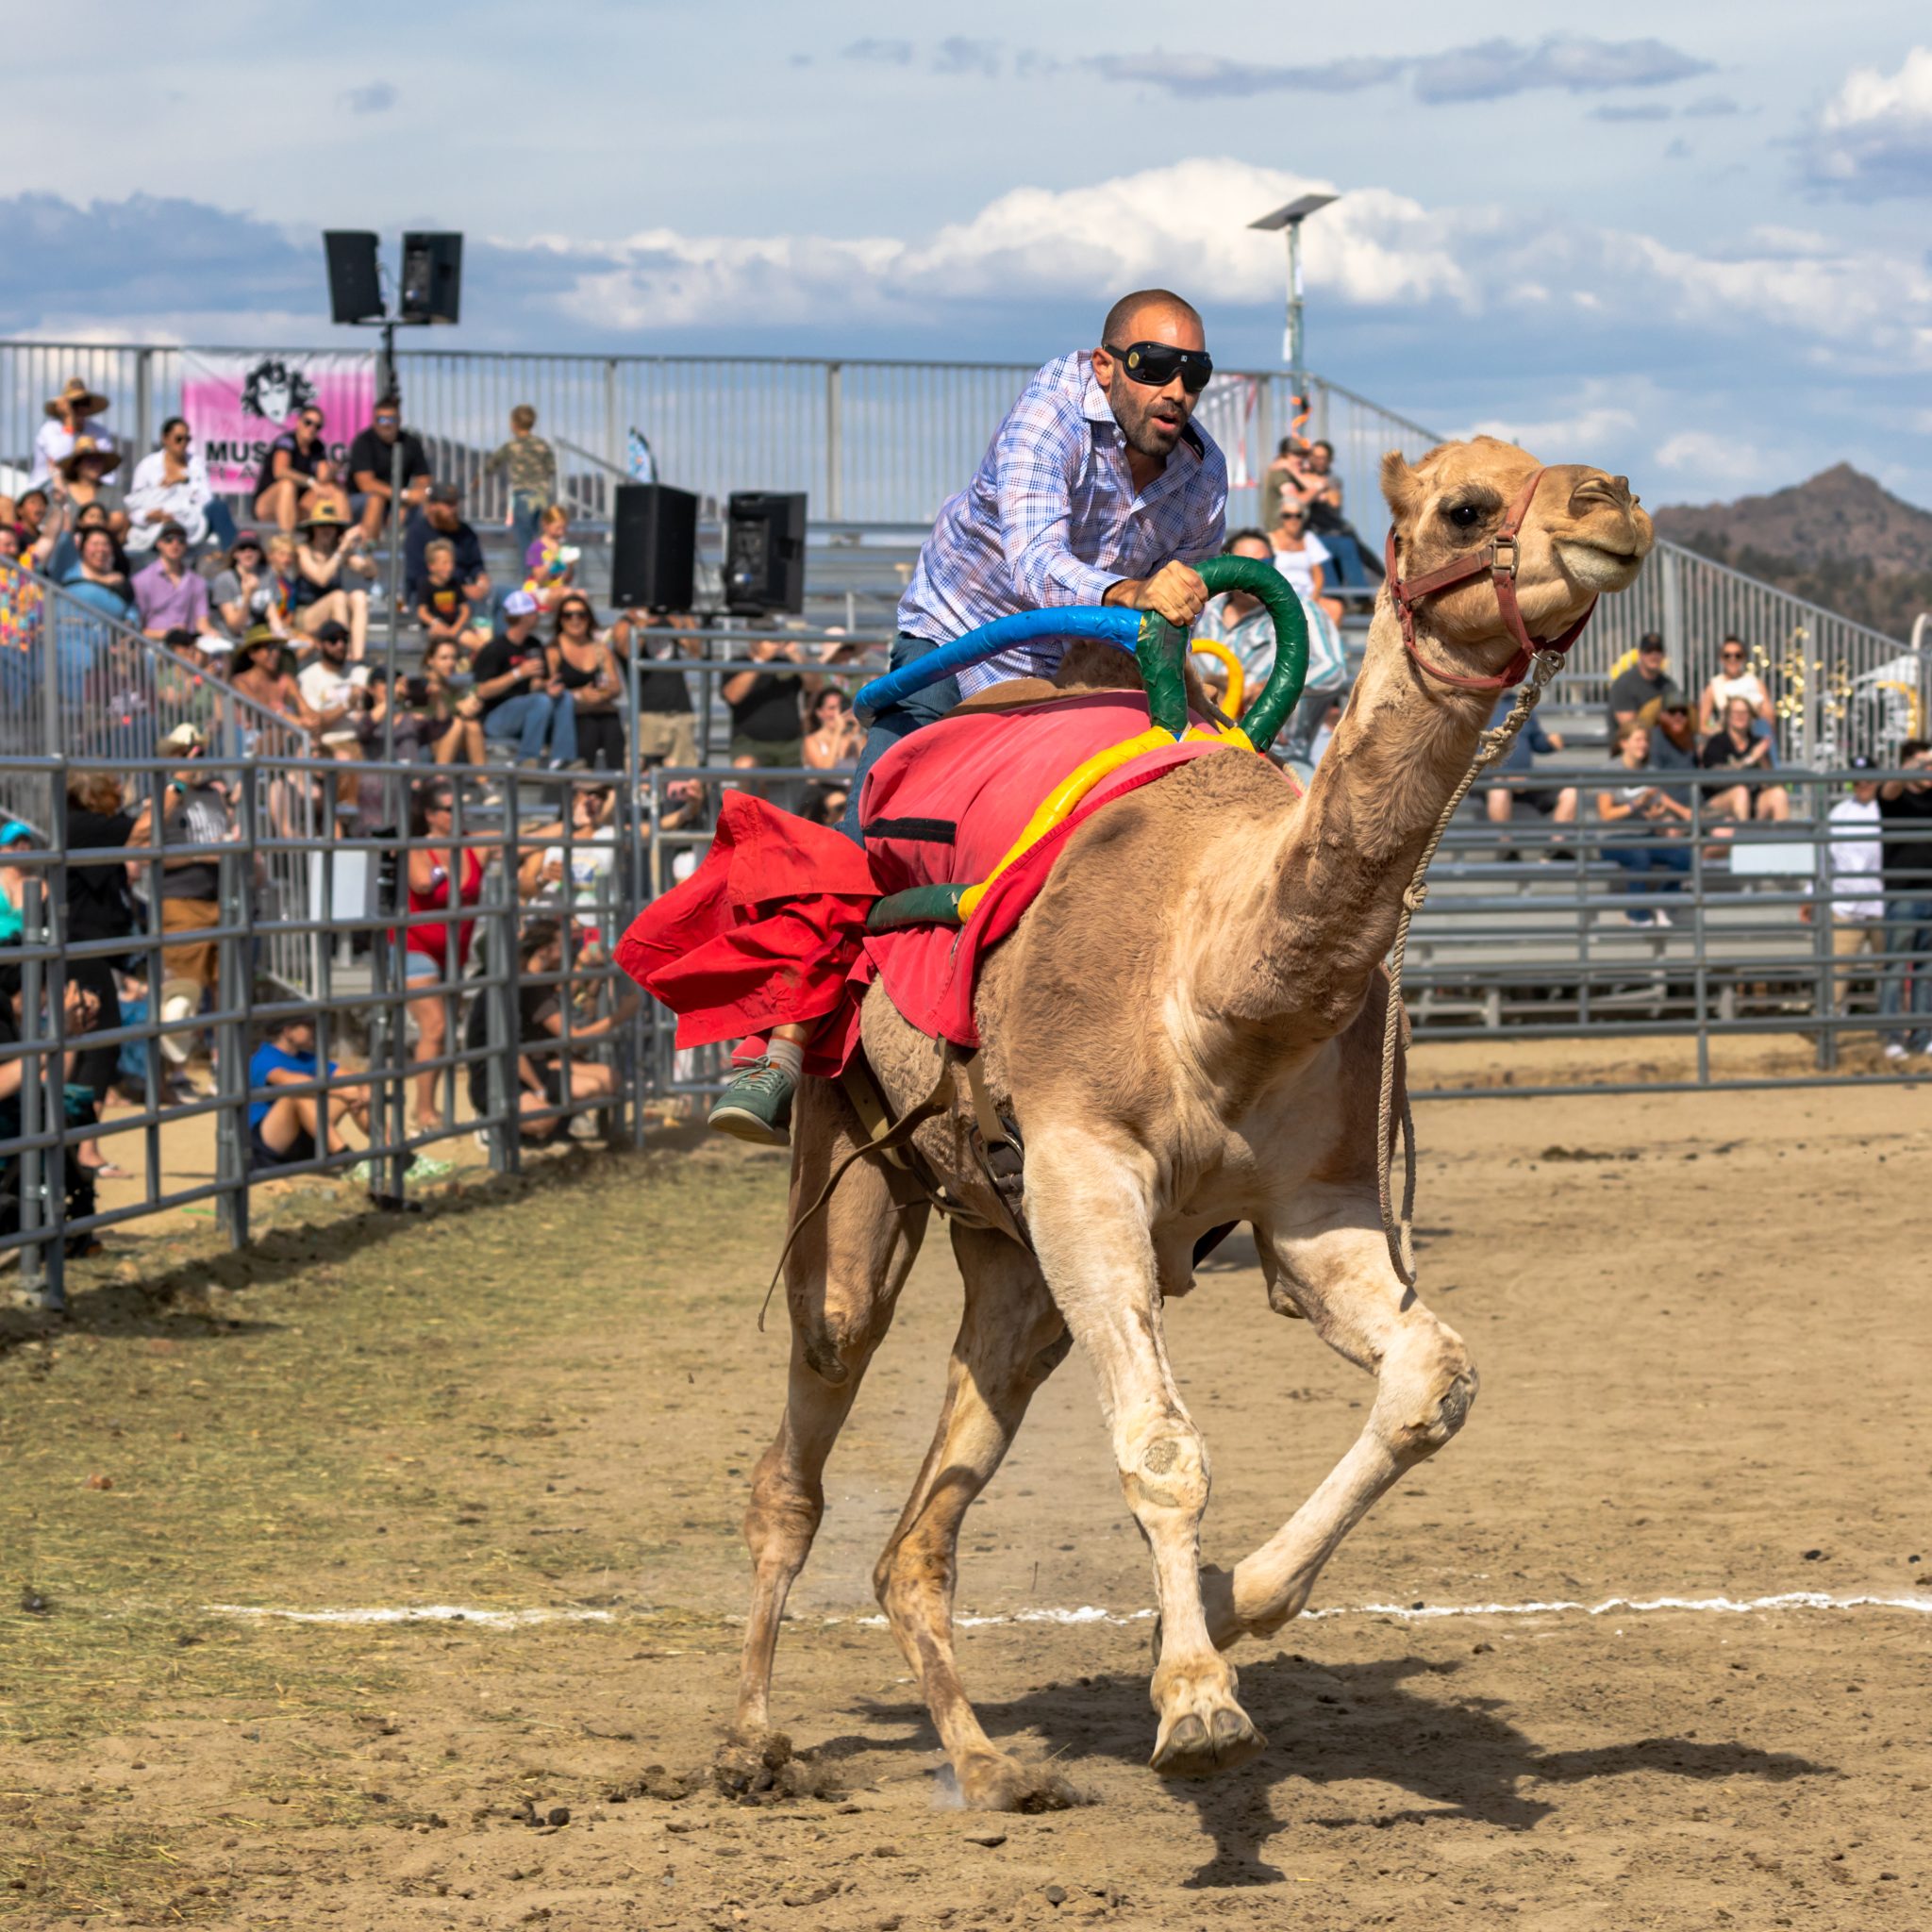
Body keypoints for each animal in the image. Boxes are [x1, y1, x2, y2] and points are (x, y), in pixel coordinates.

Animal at [728, 435, 1653, 1808]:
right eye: (1463, 504)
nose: (1613, 507)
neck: (1218, 980)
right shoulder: (1085, 1167)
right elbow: (1163, 1448)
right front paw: (1200, 1705)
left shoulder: (1316, 1214)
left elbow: (1432, 1377)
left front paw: (1232, 1600)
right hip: (853, 1134)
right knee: (812, 1400)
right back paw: (751, 1741)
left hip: (1011, 1258)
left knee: (922, 1528)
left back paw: (990, 1764)